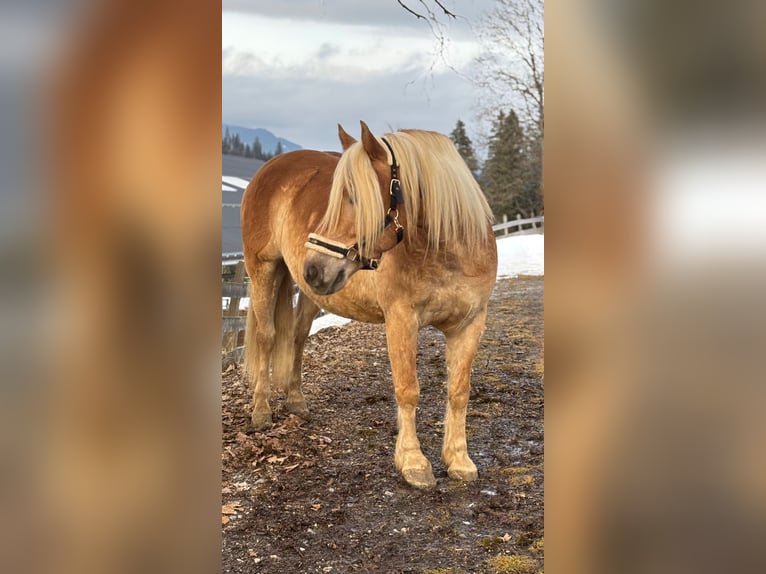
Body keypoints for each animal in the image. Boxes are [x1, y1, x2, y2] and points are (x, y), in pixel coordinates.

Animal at [240, 121, 498, 488]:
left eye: (356, 197)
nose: (313, 268)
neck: (447, 249)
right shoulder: (401, 320)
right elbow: (408, 389)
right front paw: (413, 462)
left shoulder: (471, 323)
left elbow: (459, 391)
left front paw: (459, 460)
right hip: (264, 270)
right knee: (268, 337)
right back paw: (261, 411)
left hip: (312, 294)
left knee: (297, 338)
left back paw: (296, 401)